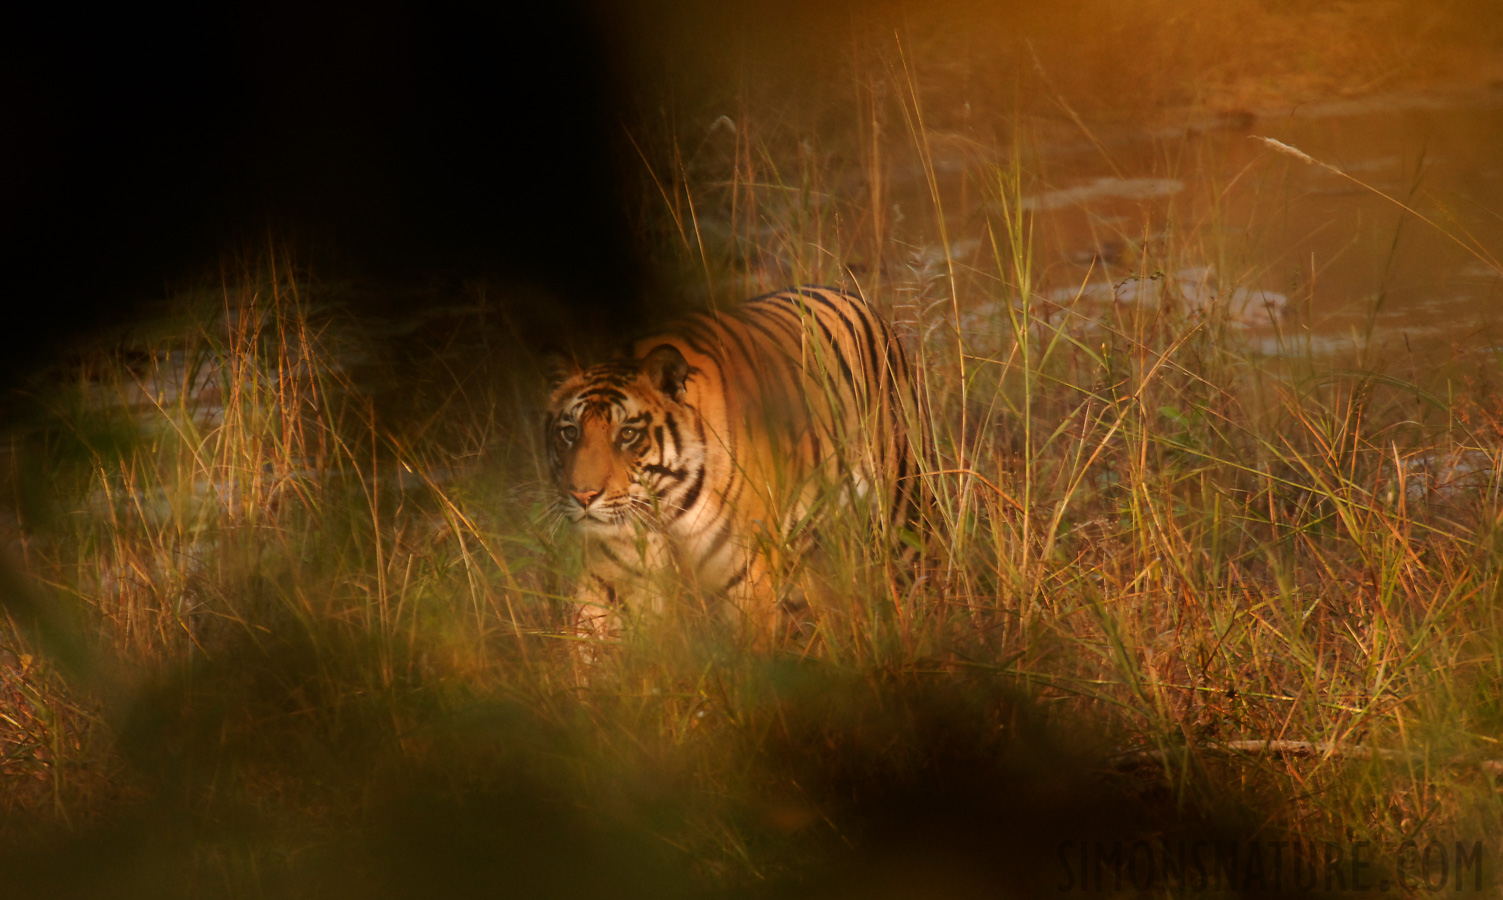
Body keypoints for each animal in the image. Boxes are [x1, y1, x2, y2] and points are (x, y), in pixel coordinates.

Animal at [550, 285, 925, 643]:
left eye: (627, 434)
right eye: (570, 432)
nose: (582, 496)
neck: (662, 515)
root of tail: (849, 295)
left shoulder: (748, 581)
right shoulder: (607, 578)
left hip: (901, 515)